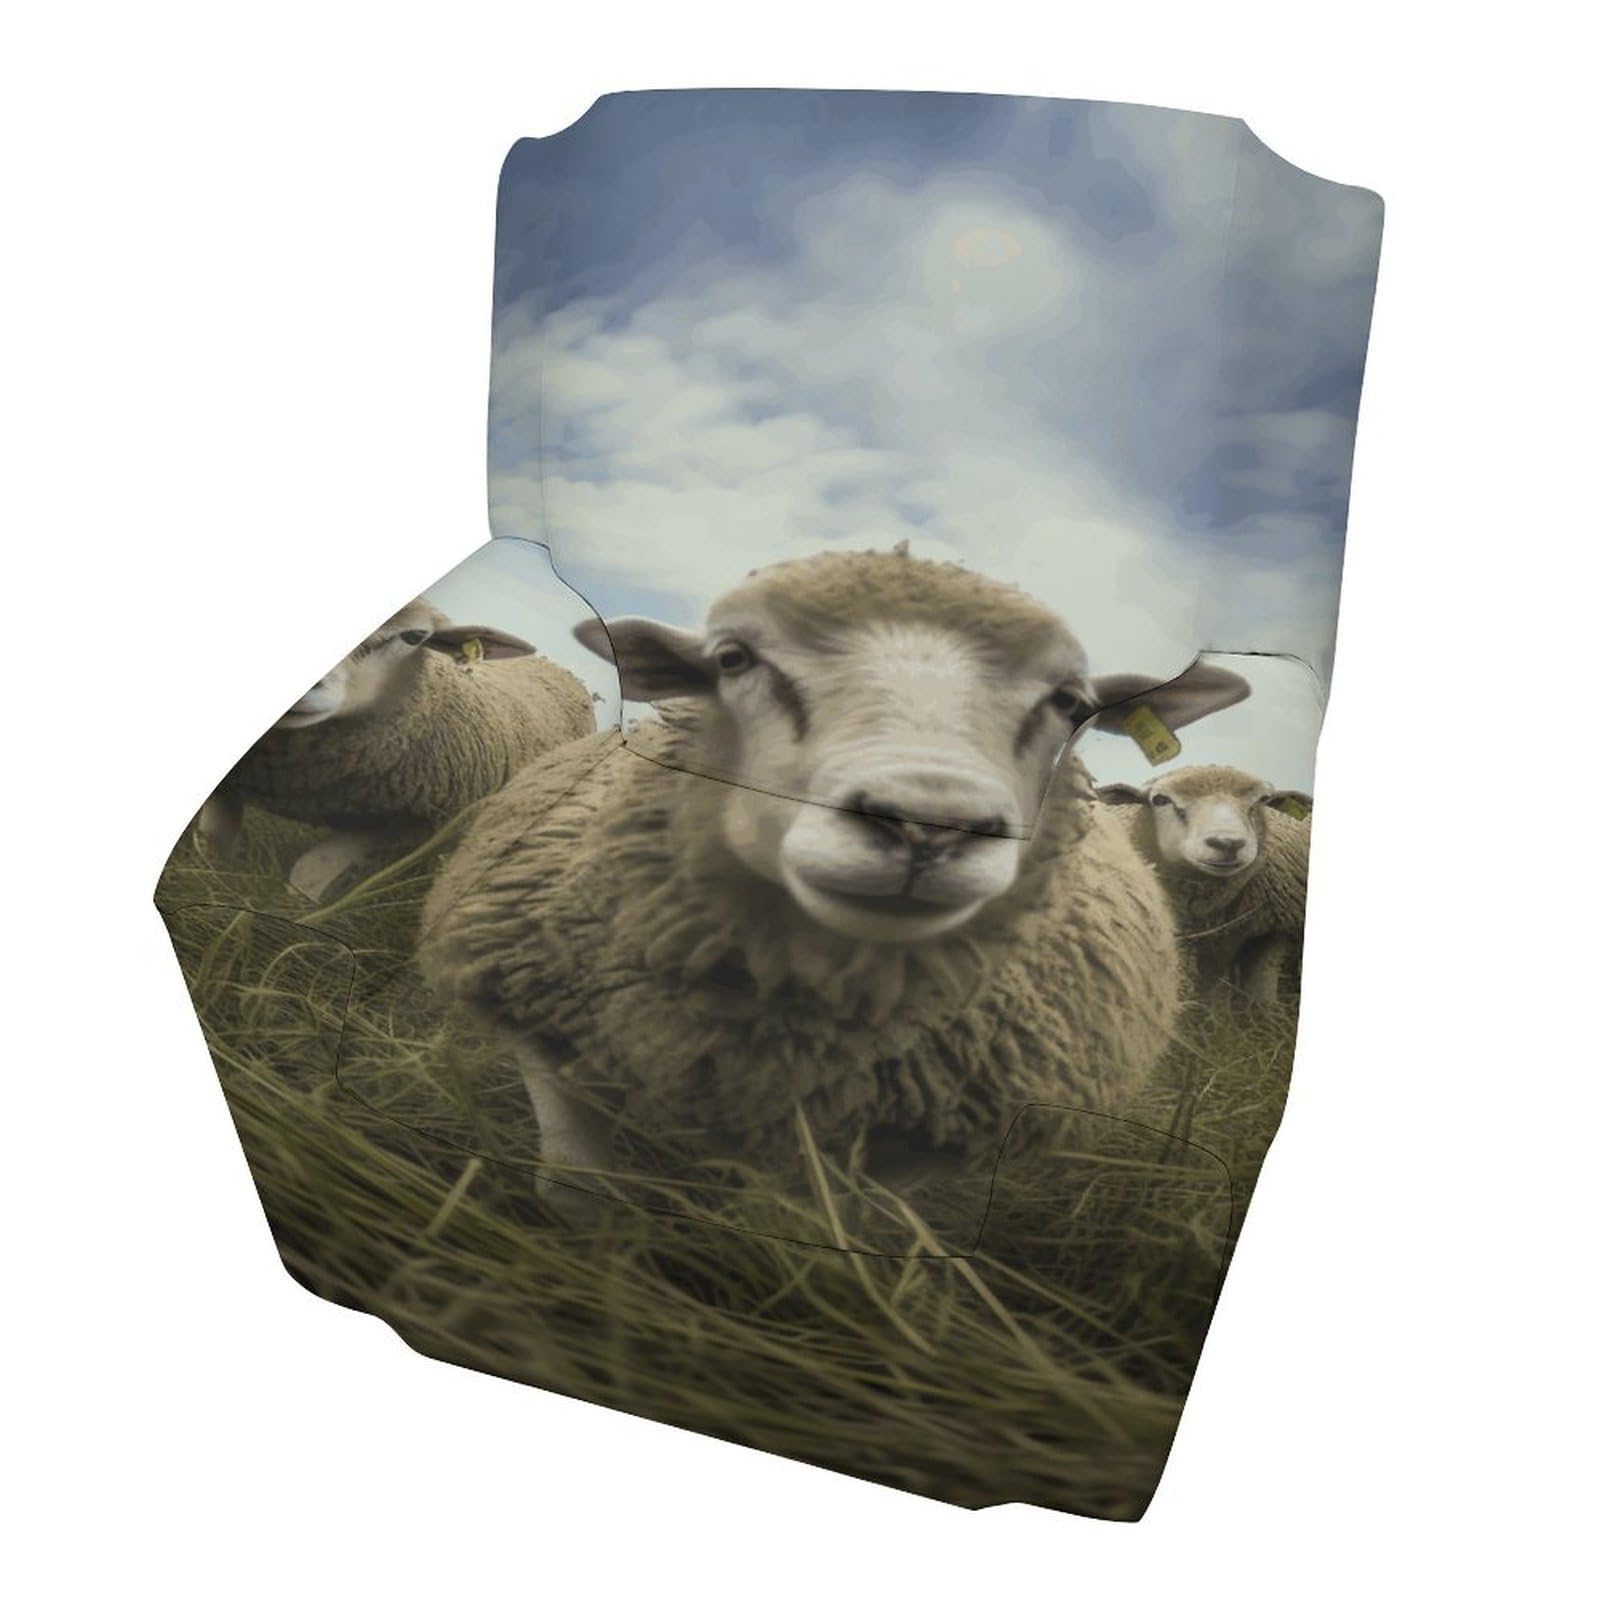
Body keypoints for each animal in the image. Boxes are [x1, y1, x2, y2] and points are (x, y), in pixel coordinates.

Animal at [418, 548, 1250, 1212]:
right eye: (732, 659)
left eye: (1071, 703)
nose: (927, 825)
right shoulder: (533, 1015)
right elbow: (574, 1192)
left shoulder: (920, 1139)